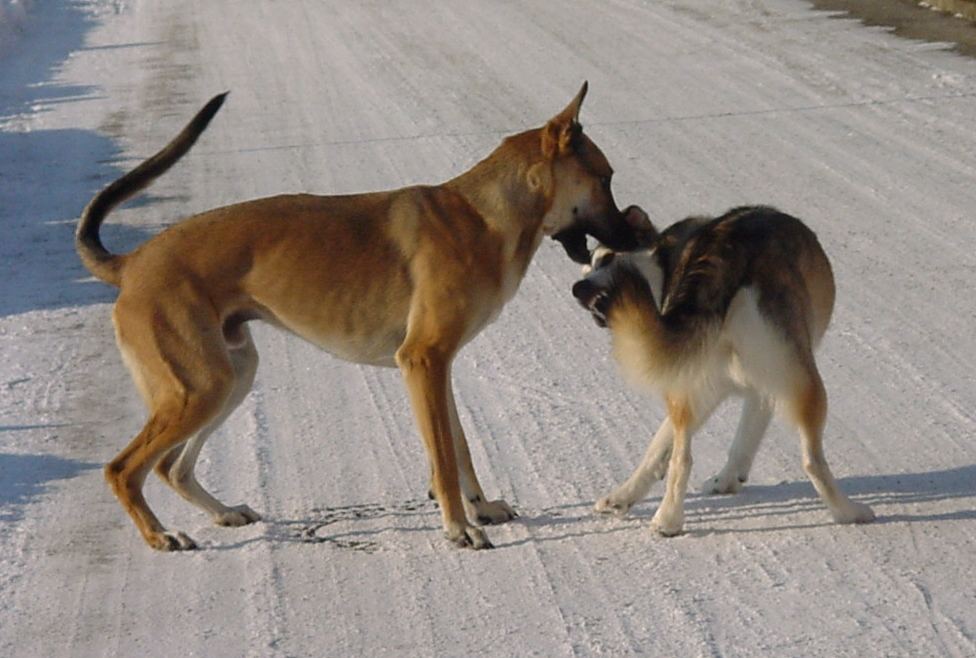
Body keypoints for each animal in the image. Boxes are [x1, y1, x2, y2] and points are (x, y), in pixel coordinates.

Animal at [76, 84, 640, 552]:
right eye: (606, 179)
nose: (636, 236)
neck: (486, 217)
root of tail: (133, 262)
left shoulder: (437, 369)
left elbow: (458, 448)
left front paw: (480, 508)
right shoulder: (424, 362)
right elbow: (444, 460)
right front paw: (459, 528)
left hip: (229, 376)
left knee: (172, 467)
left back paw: (224, 512)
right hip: (201, 386)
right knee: (123, 470)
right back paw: (160, 535)